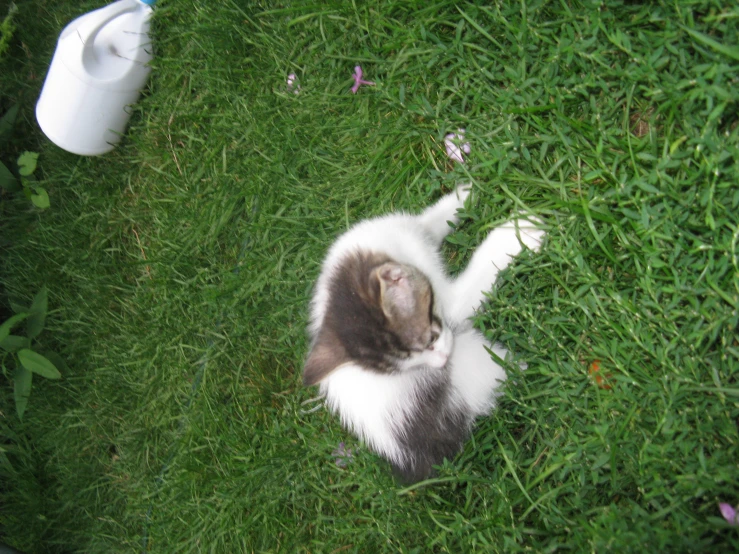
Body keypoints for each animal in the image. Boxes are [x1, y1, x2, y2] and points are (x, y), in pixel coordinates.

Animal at [302, 184, 544, 478]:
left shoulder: (390, 231)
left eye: (430, 339)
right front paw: (516, 233)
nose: (441, 362)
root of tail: (414, 460)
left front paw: (462, 197)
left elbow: (428, 223)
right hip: (472, 369)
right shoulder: (453, 308)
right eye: (415, 364)